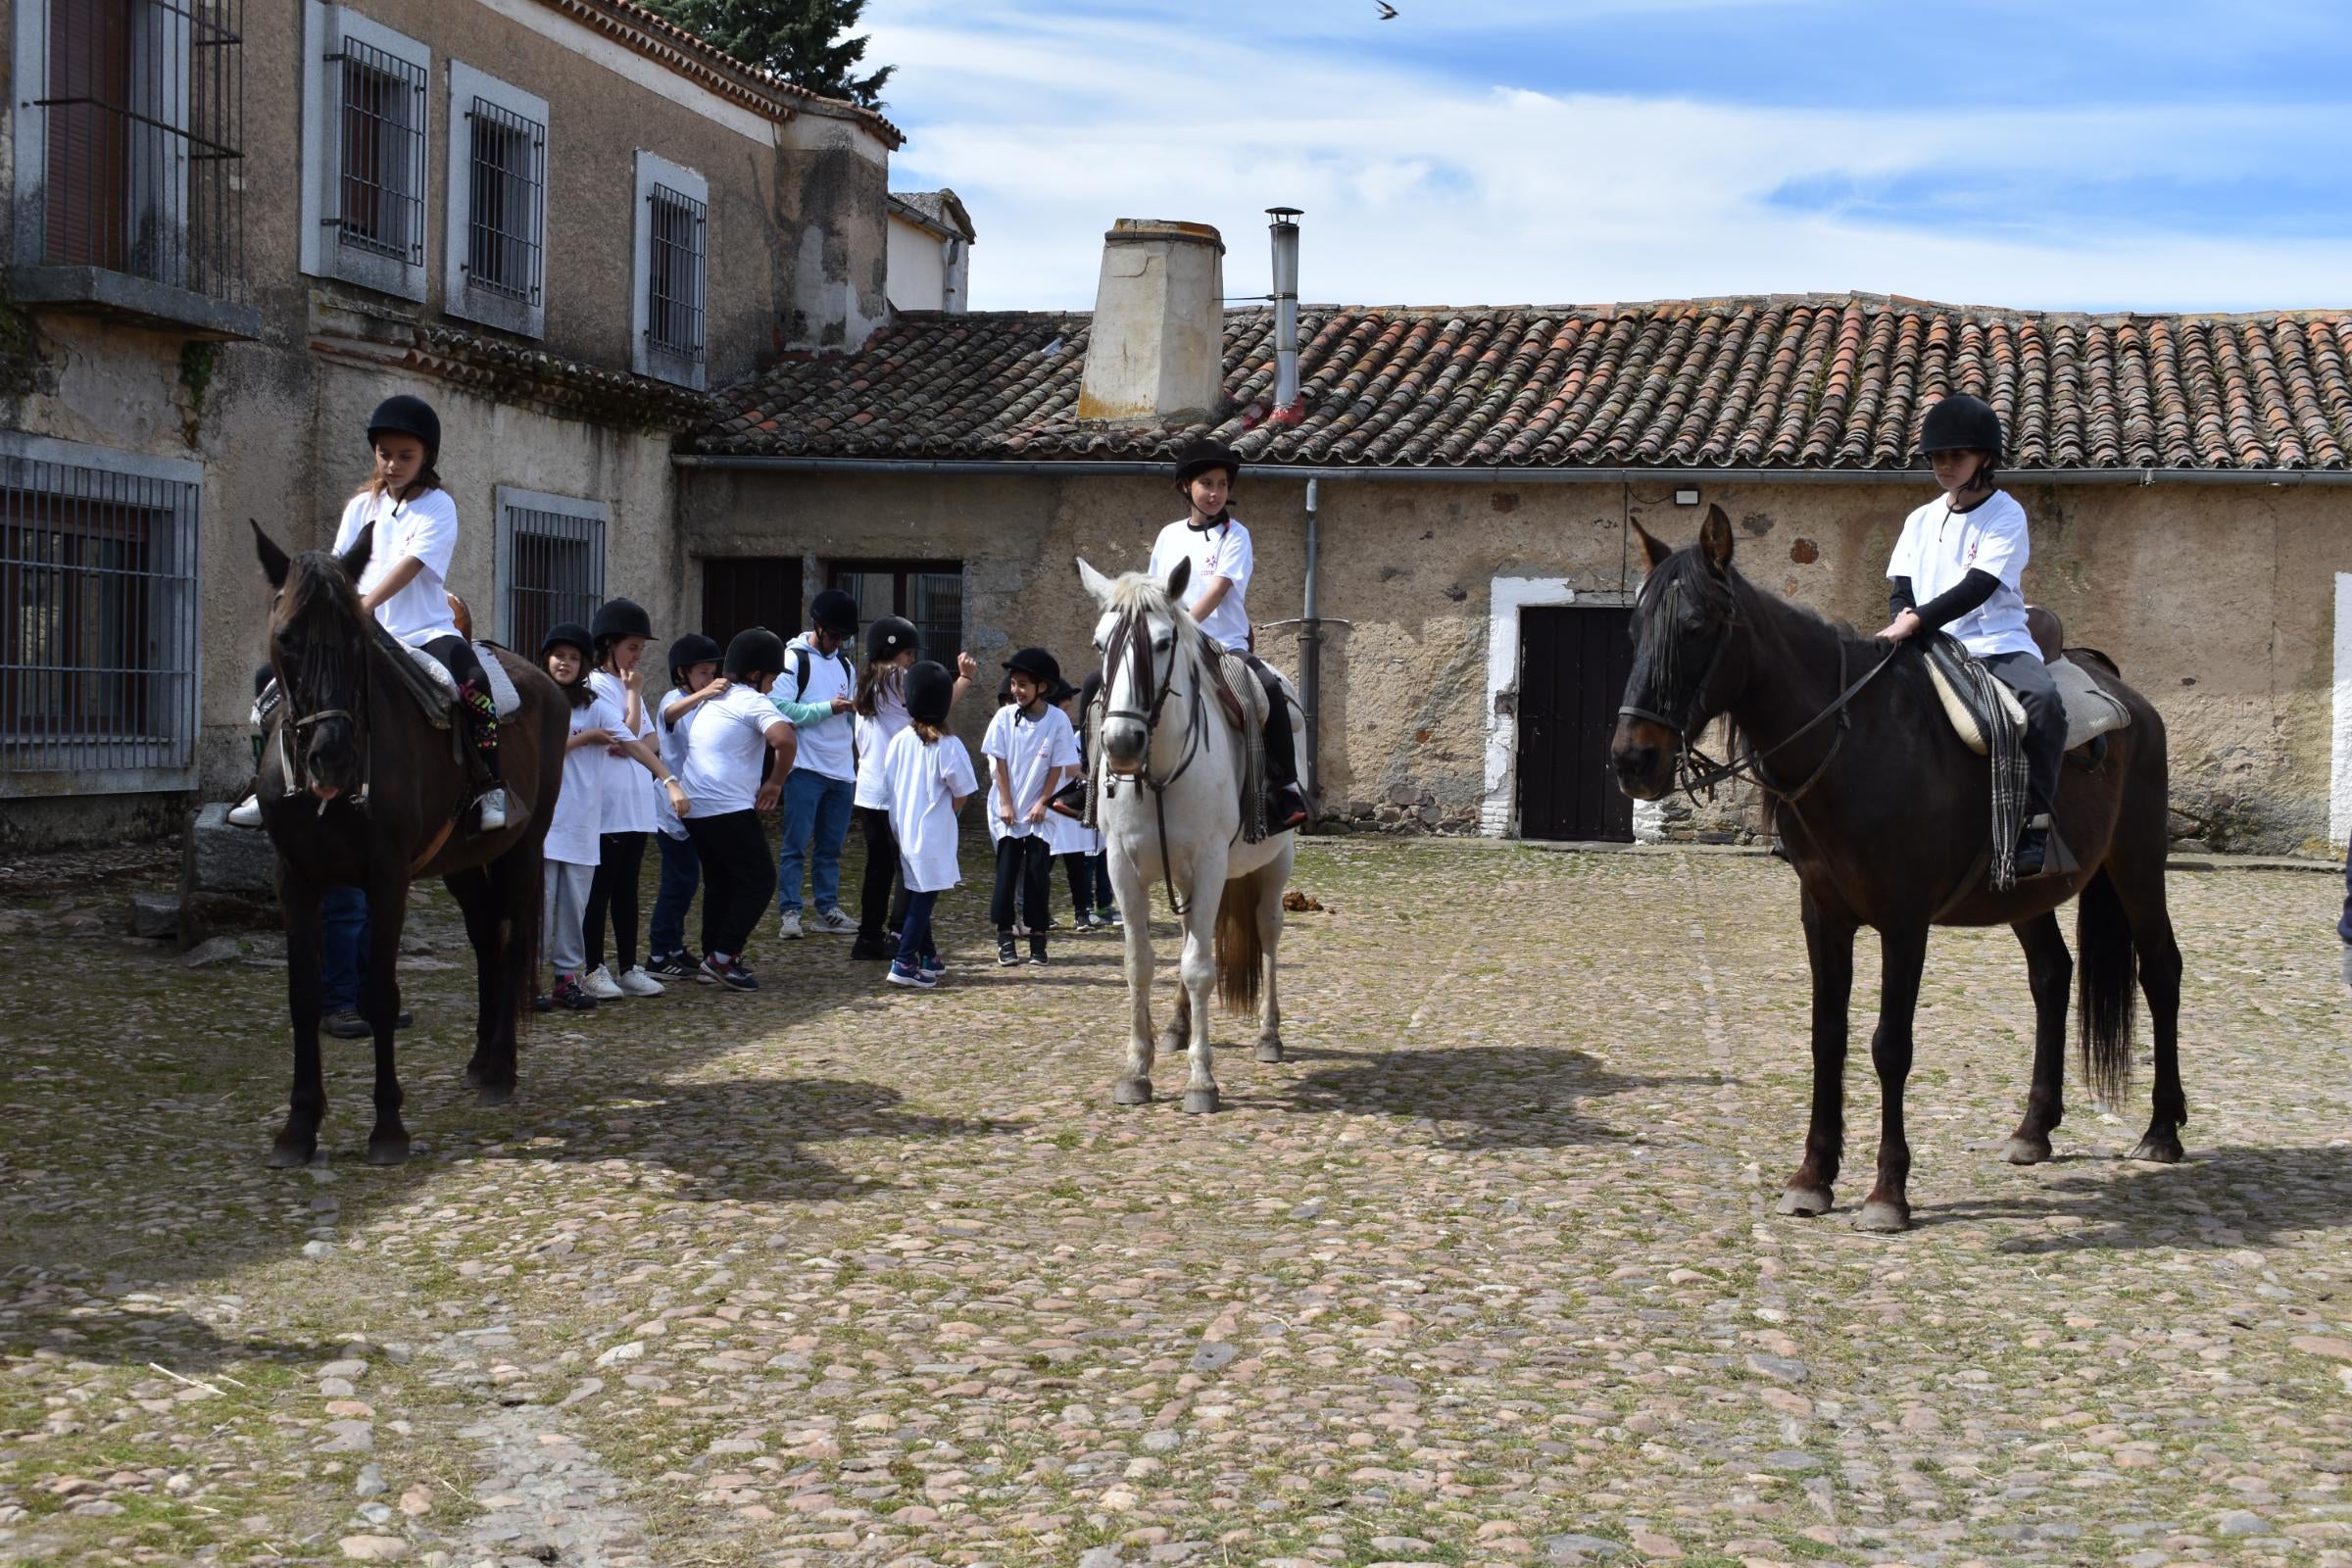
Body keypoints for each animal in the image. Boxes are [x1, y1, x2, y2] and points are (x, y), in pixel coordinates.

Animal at [254, 516, 568, 1165]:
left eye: (356, 636)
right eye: (287, 636)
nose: (331, 756)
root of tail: (545, 682)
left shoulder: (387, 878)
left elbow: (381, 995)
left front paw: (388, 1128)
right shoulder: (295, 879)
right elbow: (303, 998)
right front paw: (298, 1128)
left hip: (524, 849)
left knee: (512, 938)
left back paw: (501, 1071)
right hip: (463, 863)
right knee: (487, 938)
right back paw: (480, 1061)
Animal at [1077, 557, 1307, 1109]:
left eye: (1163, 642)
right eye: (1100, 643)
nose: (1121, 742)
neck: (1158, 772)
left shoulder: (1209, 865)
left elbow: (1200, 967)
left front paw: (1202, 1081)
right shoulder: (1122, 867)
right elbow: (1140, 964)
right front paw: (1136, 1071)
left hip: (1277, 861)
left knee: (1267, 930)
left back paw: (1269, 1037)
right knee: (1186, 938)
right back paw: (1177, 1029)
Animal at [1608, 510, 2173, 1231]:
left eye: (1697, 627)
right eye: (1634, 629)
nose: (1633, 761)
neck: (1856, 745)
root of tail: (2130, 700)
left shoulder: (1904, 921)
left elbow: (1890, 1045)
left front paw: (1887, 1193)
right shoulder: (1823, 914)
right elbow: (1827, 1036)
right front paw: (1812, 1178)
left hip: (2137, 866)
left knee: (2160, 971)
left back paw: (2162, 1132)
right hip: (2027, 894)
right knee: (2052, 974)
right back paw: (2033, 1131)